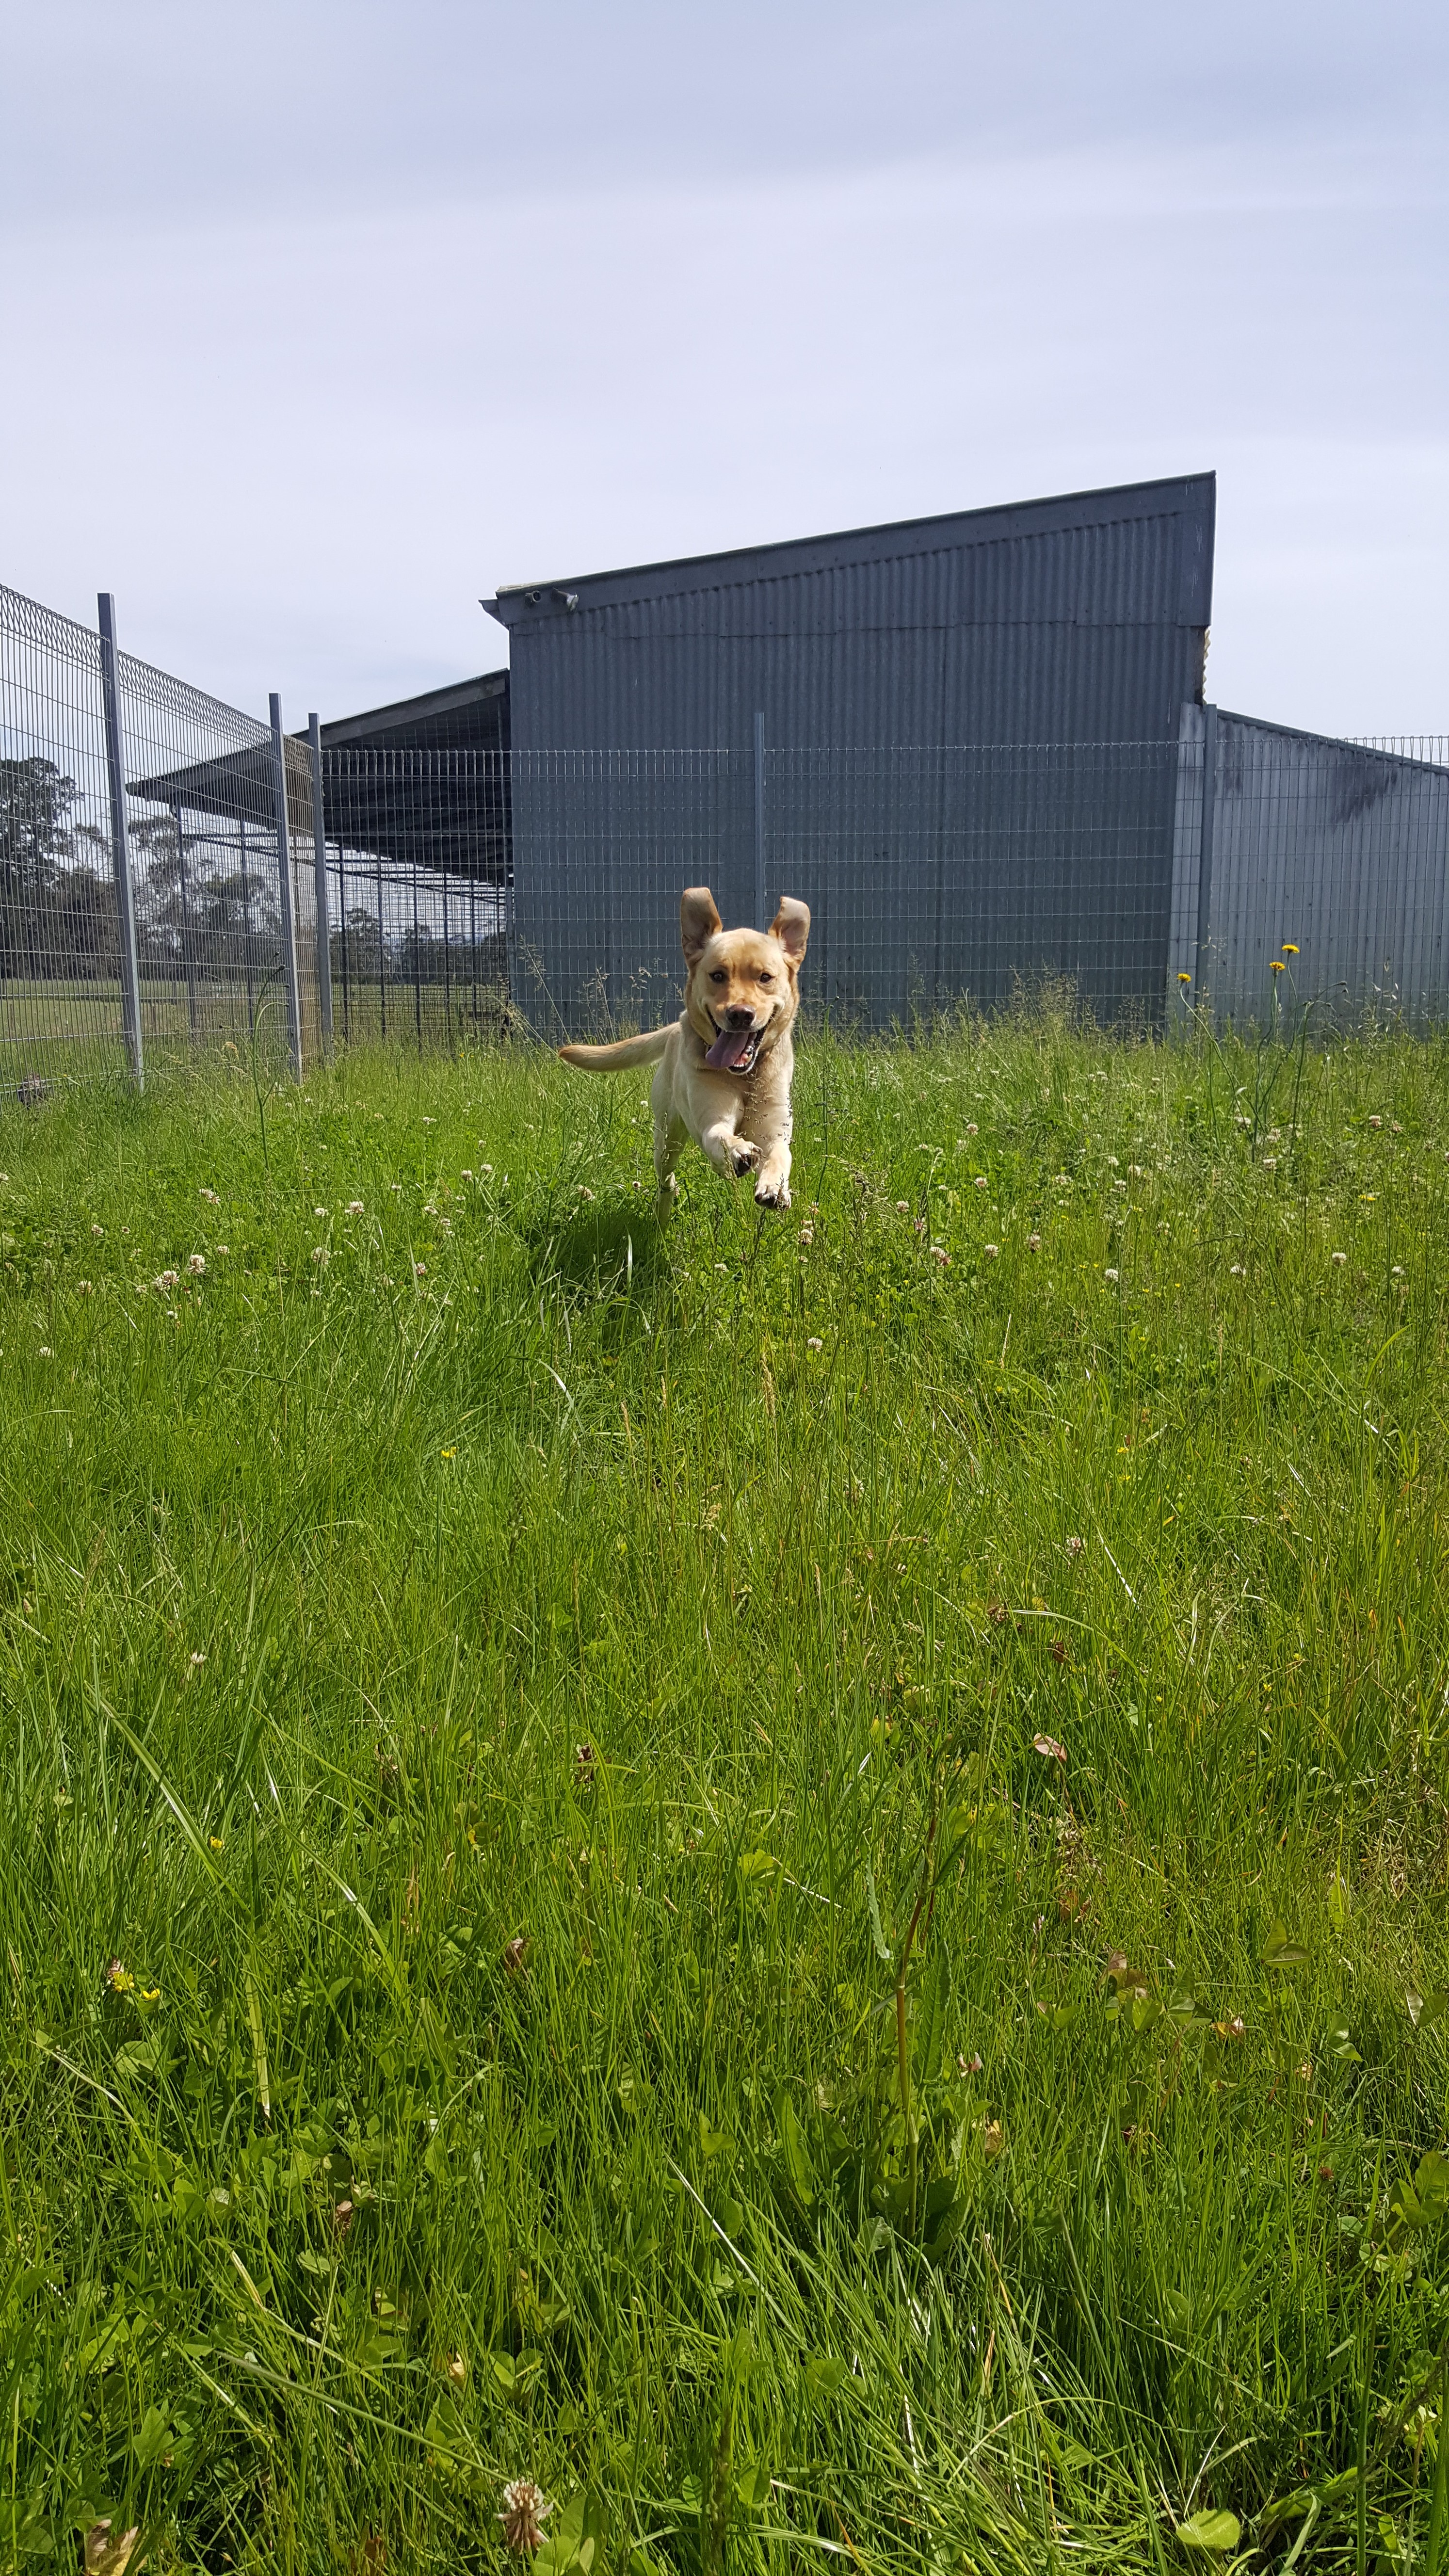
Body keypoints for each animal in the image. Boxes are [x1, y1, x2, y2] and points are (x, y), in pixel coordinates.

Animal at [558, 885, 810, 1208]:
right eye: (718, 975)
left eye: (765, 977)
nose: (740, 1014)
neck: (744, 1078)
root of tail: (675, 1026)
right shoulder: (711, 1118)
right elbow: (719, 1136)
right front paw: (738, 1151)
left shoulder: (774, 1127)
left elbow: (781, 1154)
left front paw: (775, 1187)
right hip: (667, 1137)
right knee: (665, 1176)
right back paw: (665, 1204)